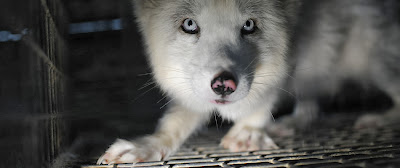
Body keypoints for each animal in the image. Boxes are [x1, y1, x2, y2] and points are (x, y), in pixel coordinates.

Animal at [97, 0, 400, 164]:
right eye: (190, 24)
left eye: (249, 25)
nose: (223, 84)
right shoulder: (191, 91)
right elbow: (174, 124)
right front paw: (146, 146)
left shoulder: (290, 58)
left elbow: (267, 97)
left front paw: (249, 130)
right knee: (311, 106)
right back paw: (291, 124)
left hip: (376, 63)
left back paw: (379, 118)